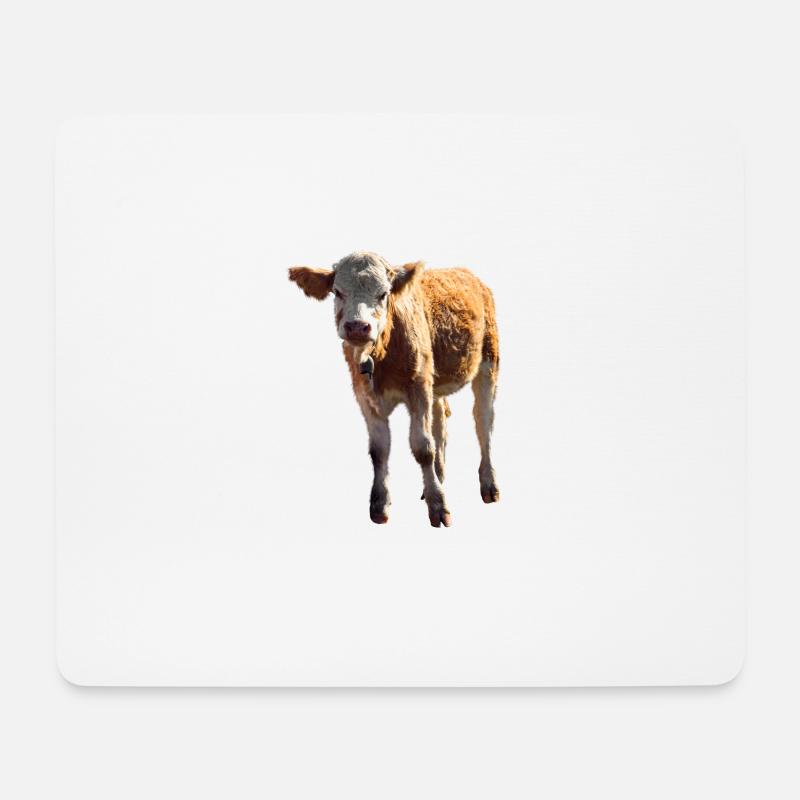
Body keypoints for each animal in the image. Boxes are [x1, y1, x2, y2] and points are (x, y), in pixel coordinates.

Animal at [288, 251, 500, 528]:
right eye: (337, 291)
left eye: (383, 293)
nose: (357, 326)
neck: (381, 355)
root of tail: (466, 272)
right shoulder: (366, 397)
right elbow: (379, 450)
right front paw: (380, 505)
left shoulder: (418, 387)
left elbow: (423, 447)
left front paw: (438, 506)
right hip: (435, 379)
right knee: (441, 423)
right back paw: (439, 478)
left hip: (488, 362)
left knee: (483, 424)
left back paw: (489, 485)